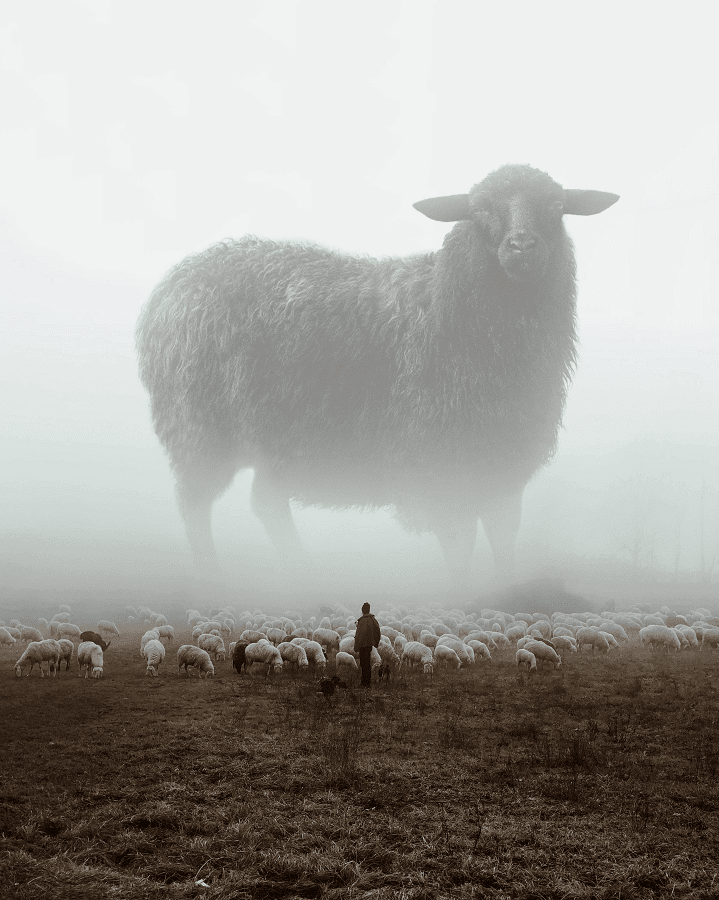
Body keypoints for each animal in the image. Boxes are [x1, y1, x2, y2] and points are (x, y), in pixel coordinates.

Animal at [136, 165, 618, 586]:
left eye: (556, 206)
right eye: (480, 209)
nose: (522, 245)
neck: (448, 309)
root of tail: (172, 284)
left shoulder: (502, 464)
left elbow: (503, 539)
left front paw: (505, 592)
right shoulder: (441, 461)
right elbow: (460, 545)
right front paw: (464, 597)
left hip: (273, 440)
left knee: (266, 505)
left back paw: (304, 576)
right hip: (199, 428)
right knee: (195, 505)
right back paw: (214, 578)